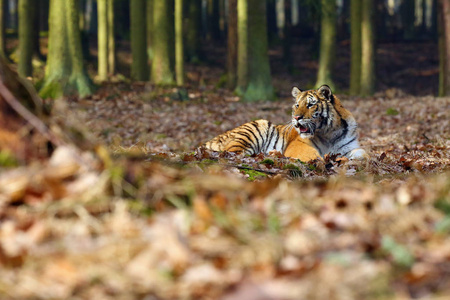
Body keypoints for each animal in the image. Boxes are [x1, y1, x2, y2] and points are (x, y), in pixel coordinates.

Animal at [203, 84, 366, 162]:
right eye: (297, 105)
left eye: (310, 105)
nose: (296, 117)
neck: (330, 133)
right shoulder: (299, 146)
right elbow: (312, 156)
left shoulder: (350, 146)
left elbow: (364, 153)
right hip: (254, 129)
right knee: (233, 152)